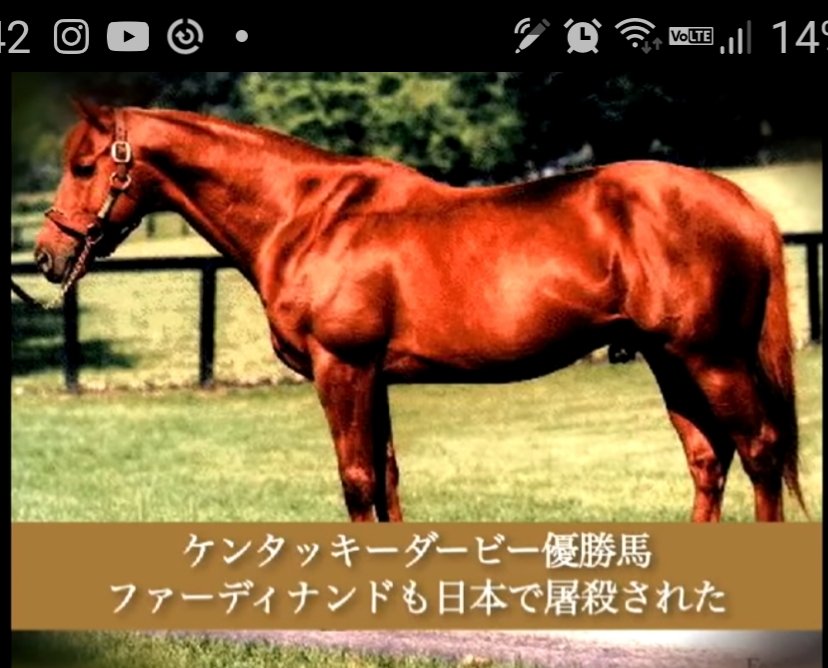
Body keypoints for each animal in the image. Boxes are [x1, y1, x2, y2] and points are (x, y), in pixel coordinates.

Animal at [32, 100, 806, 523]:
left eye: (83, 166)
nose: (45, 256)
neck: (307, 216)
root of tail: (741, 203)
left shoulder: (341, 369)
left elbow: (357, 480)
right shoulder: (372, 376)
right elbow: (387, 477)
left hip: (712, 359)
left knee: (761, 452)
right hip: (670, 360)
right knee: (709, 459)